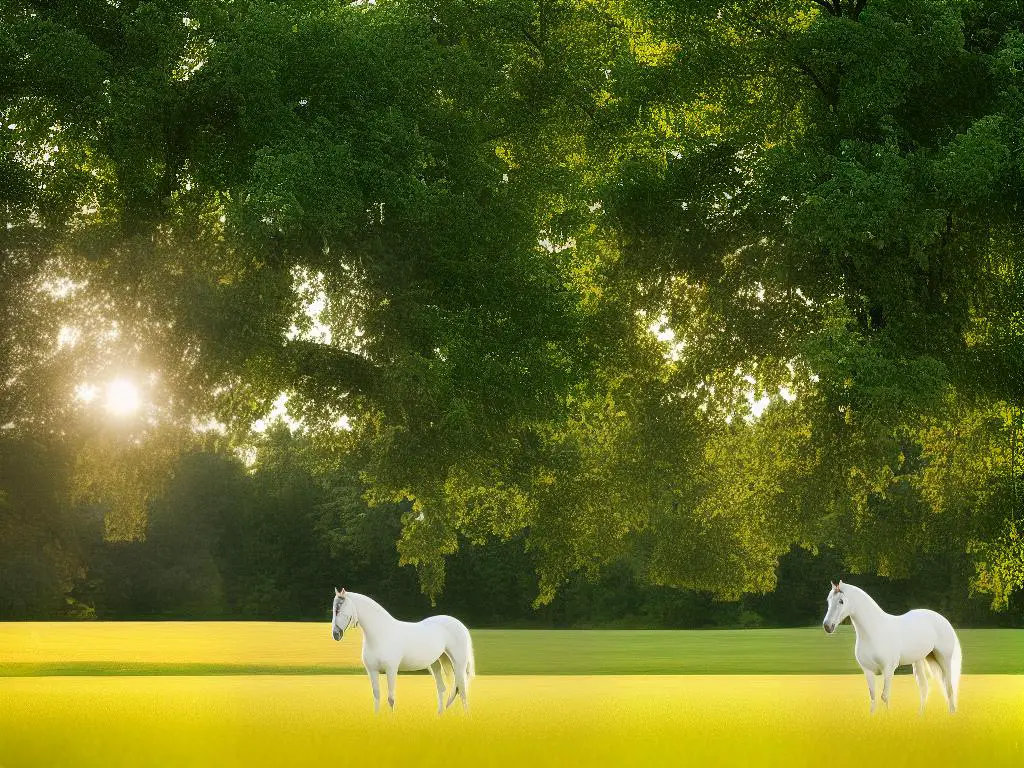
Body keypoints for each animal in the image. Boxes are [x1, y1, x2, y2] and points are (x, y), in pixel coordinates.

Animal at [327, 589, 475, 716]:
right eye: (334, 609)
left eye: (339, 609)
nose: (336, 635)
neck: (381, 633)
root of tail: (459, 624)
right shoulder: (372, 671)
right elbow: (377, 695)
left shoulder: (391, 669)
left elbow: (391, 698)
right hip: (437, 663)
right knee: (444, 688)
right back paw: (440, 715)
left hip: (459, 664)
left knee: (462, 689)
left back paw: (465, 716)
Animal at [823, 581, 958, 716]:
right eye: (828, 600)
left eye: (841, 601)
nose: (827, 626)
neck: (874, 630)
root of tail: (943, 620)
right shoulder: (868, 671)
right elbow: (873, 697)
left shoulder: (888, 669)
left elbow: (884, 696)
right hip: (921, 660)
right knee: (924, 688)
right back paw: (920, 715)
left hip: (943, 659)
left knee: (949, 688)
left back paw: (951, 714)